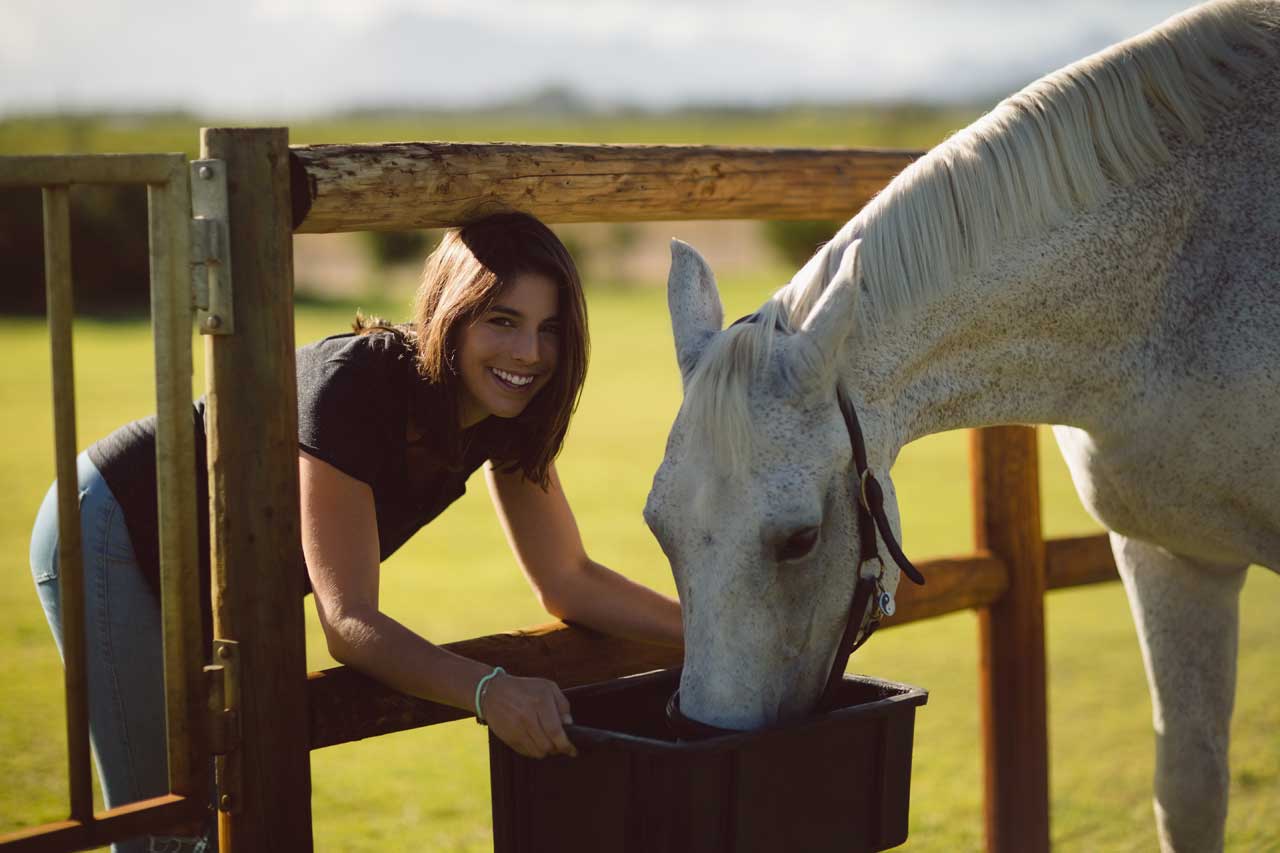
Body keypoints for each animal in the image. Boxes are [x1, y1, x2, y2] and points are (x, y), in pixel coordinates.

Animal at [645, 3, 1280, 845]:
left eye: (800, 539)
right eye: (659, 527)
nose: (707, 736)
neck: (1181, 281)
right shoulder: (1172, 557)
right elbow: (1188, 790)